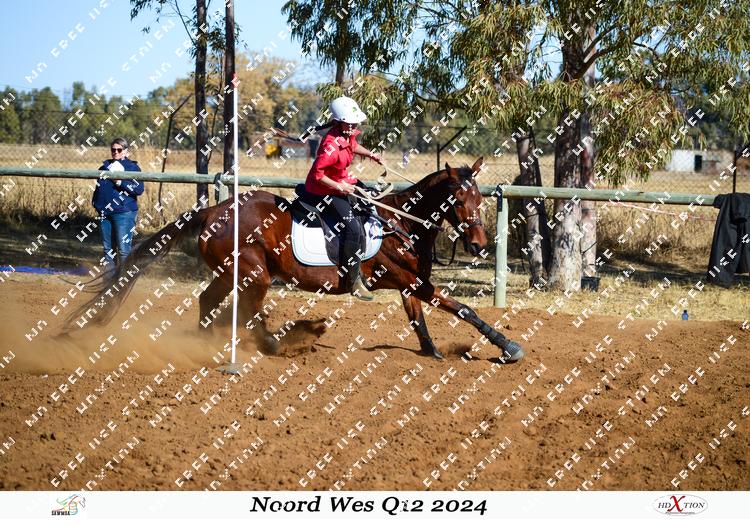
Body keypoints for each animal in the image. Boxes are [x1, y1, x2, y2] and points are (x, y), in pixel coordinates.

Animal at [64, 156, 523, 363]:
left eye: (481, 198)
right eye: (457, 199)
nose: (480, 245)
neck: (401, 223)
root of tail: (212, 211)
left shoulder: (408, 286)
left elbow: (421, 321)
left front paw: (432, 351)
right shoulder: (408, 280)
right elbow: (462, 308)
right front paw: (509, 347)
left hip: (233, 273)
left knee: (208, 301)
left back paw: (207, 344)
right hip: (254, 273)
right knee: (249, 311)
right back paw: (273, 343)